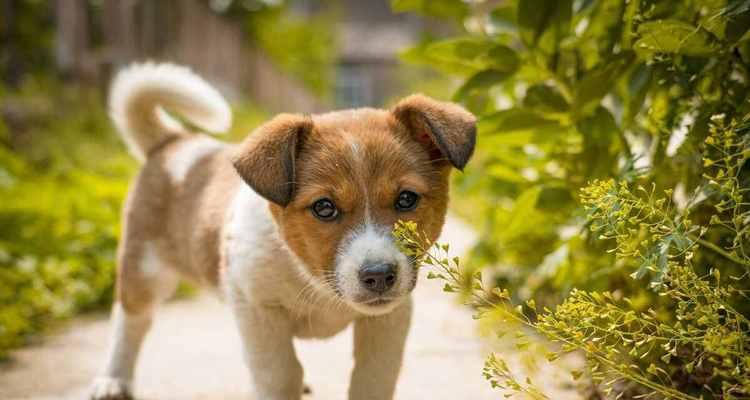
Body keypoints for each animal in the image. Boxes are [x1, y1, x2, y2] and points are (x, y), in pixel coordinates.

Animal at [88, 62, 476, 400]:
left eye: (406, 199)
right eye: (324, 207)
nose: (379, 276)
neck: (311, 277)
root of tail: (175, 142)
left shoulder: (388, 319)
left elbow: (373, 377)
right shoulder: (258, 309)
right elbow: (280, 374)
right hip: (144, 269)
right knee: (130, 320)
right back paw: (113, 380)